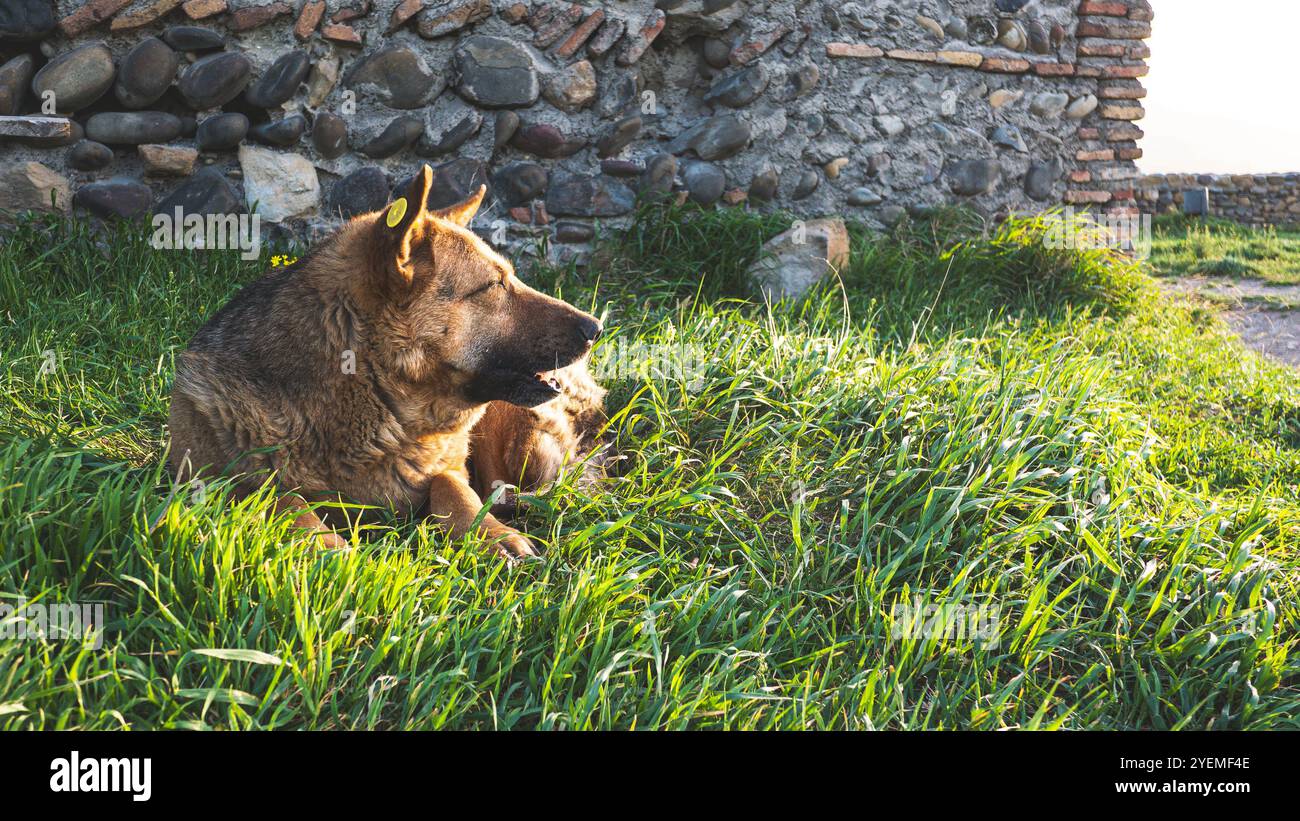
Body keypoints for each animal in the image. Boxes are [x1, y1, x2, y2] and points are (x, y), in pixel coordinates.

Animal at [166, 163, 603, 555]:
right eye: (494, 285)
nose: (595, 328)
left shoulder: (450, 468)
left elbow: (454, 488)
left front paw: (490, 533)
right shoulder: (209, 481)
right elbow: (280, 498)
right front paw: (327, 546)